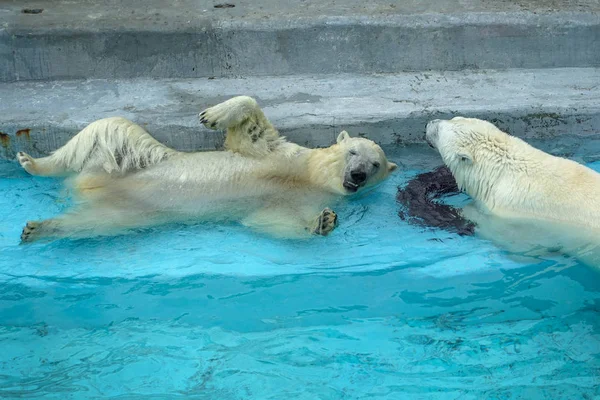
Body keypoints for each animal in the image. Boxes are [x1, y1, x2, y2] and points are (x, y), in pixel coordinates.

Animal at [16, 95, 396, 242]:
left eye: (375, 164)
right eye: (352, 151)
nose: (358, 175)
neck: (309, 175)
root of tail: (89, 187)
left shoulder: (295, 197)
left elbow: (273, 219)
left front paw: (324, 222)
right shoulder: (281, 153)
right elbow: (250, 128)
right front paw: (212, 115)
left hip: (128, 210)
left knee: (94, 224)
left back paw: (38, 228)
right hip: (127, 161)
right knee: (108, 127)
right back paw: (33, 162)